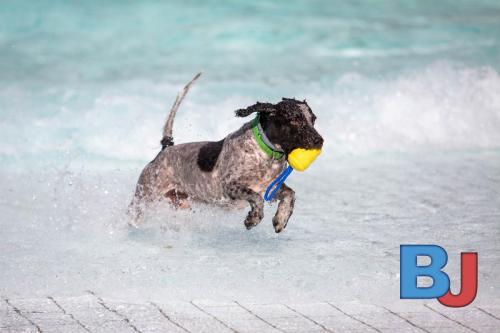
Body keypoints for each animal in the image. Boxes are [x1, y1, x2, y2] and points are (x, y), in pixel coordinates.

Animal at [130, 74, 324, 232]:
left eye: (313, 119)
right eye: (295, 120)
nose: (319, 141)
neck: (265, 153)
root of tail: (165, 149)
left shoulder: (270, 187)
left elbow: (290, 195)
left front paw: (280, 219)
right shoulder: (231, 185)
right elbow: (256, 199)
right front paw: (253, 219)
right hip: (144, 198)